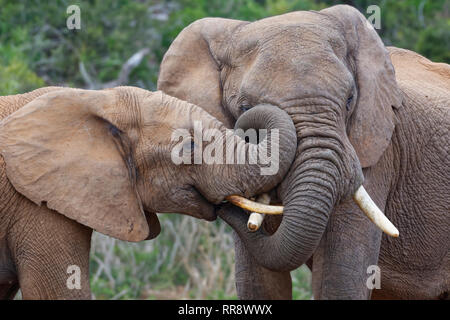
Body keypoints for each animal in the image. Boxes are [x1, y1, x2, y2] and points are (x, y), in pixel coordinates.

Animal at [156, 4, 448, 300]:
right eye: (245, 107)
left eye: (350, 100)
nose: (216, 204)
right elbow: (259, 282)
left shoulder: (374, 153)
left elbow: (340, 280)